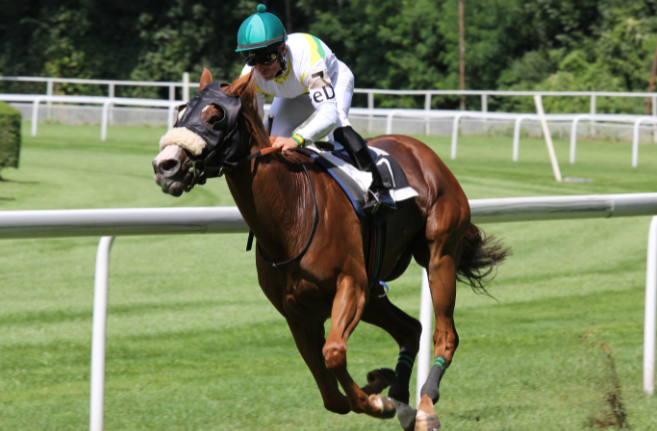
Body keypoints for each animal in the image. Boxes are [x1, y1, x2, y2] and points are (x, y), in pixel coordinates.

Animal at [152, 68, 508, 431]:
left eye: (215, 117)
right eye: (180, 112)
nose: (165, 165)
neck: (292, 212)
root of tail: (423, 151)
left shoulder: (350, 284)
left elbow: (334, 353)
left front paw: (377, 401)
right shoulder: (297, 312)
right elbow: (331, 396)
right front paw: (380, 389)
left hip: (439, 256)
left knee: (445, 334)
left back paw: (424, 407)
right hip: (374, 292)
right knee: (411, 329)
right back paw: (401, 400)